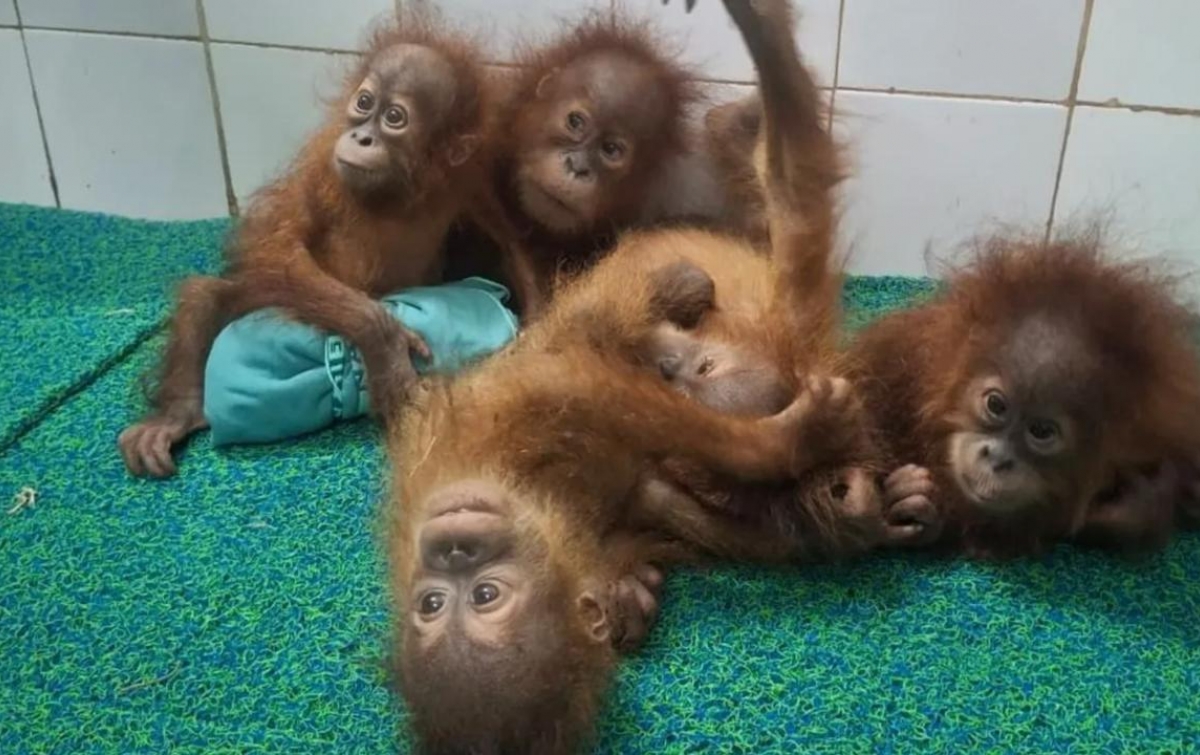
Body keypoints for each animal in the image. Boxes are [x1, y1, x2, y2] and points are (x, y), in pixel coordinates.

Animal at [118, 12, 496, 477]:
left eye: (394, 117)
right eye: (364, 103)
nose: (362, 138)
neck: (394, 194)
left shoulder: (470, 179)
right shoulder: (322, 168)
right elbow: (278, 247)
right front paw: (385, 344)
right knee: (206, 296)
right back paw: (177, 415)